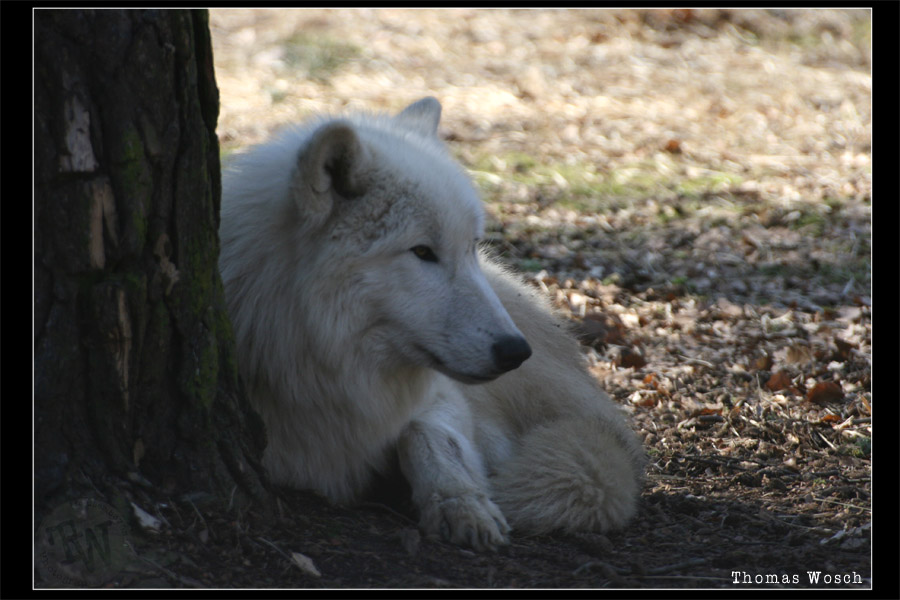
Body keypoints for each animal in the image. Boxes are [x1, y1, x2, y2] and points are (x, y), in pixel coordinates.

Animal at [221, 97, 644, 548]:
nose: (516, 351)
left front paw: (463, 504)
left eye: (470, 246)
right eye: (422, 251)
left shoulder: (441, 398)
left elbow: (428, 437)